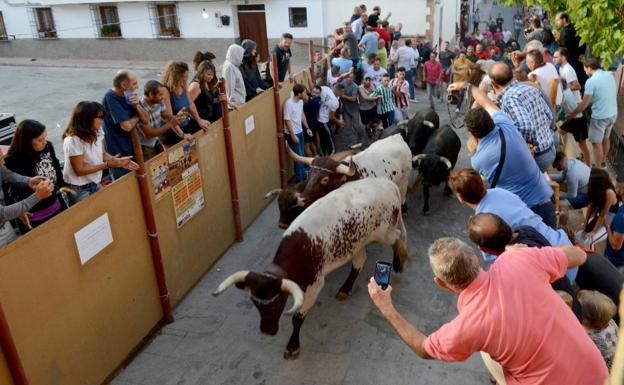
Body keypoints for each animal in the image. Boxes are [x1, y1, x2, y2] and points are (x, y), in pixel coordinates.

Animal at [213, 178, 410, 358]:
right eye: (255, 303)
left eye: (277, 302)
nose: (267, 331)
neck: (301, 247)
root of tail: (387, 183)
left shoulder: (315, 285)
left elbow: (297, 318)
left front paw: (293, 346)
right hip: (358, 243)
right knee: (359, 261)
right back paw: (345, 289)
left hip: (385, 233)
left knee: (398, 237)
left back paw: (398, 262)